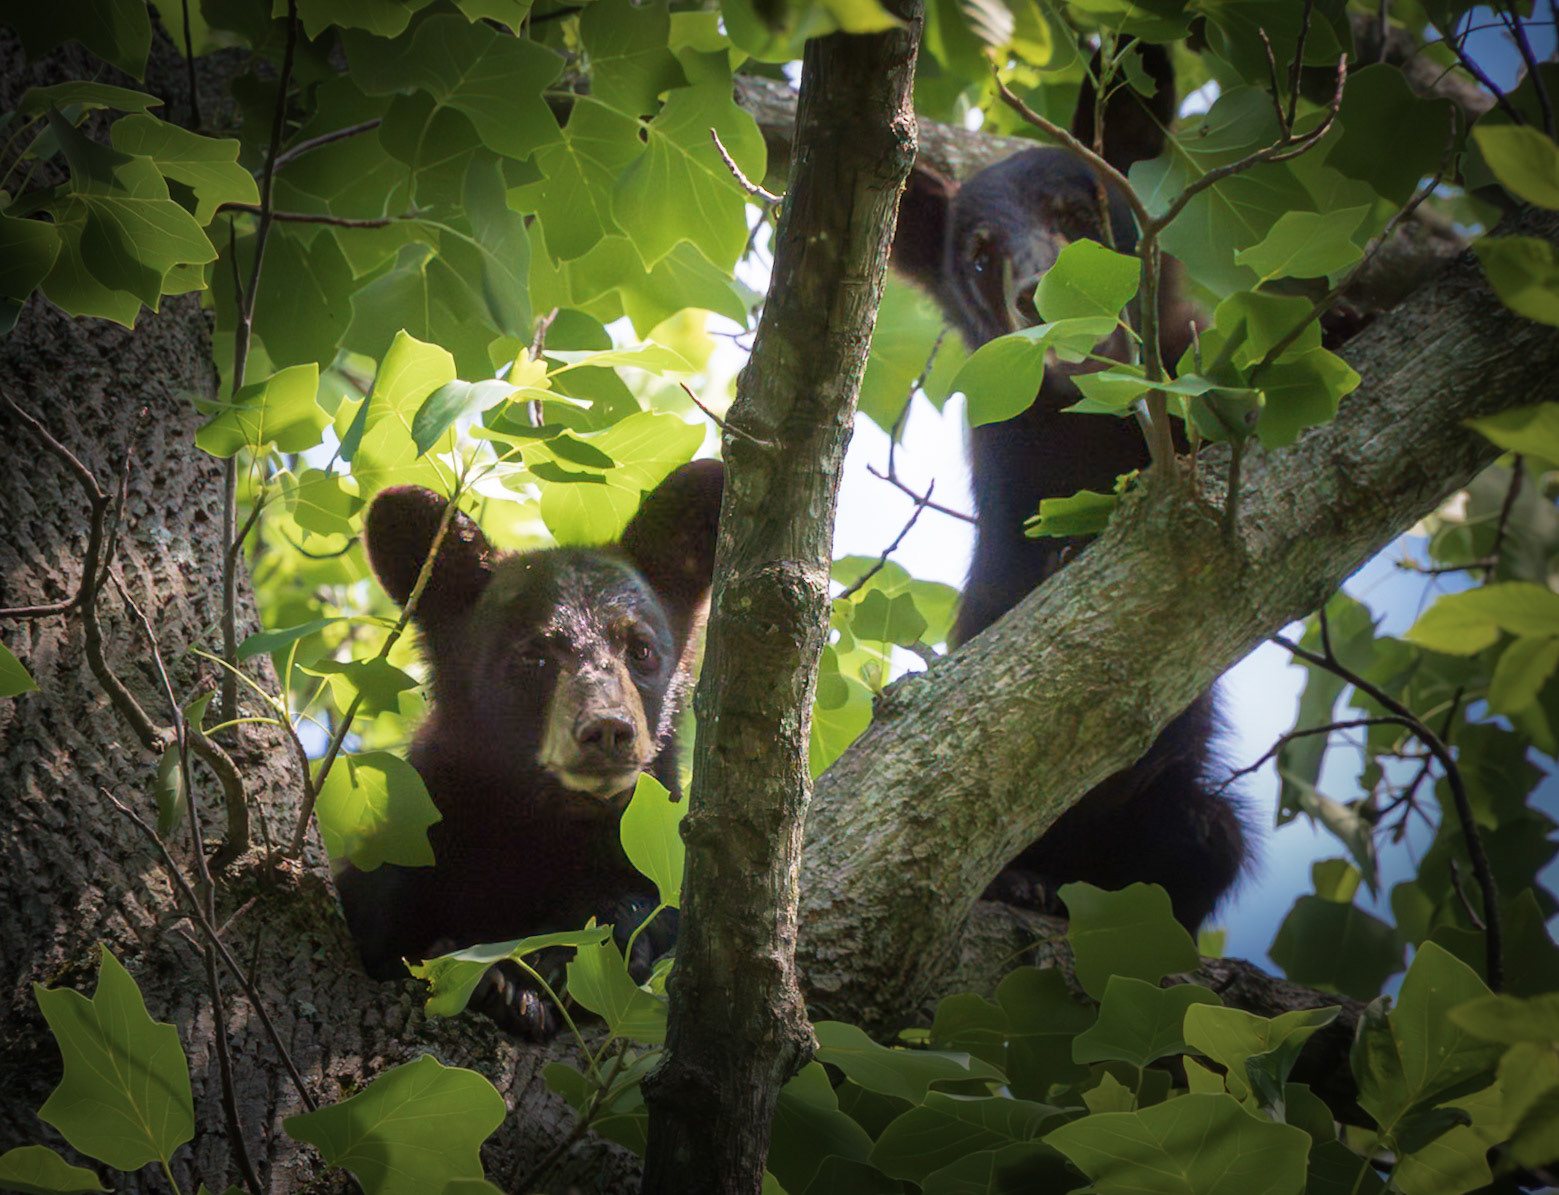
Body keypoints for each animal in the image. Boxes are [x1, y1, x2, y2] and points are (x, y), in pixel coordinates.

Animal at [335, 459, 724, 1033]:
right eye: (534, 656)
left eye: (641, 649)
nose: (607, 729)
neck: (543, 826)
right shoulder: (416, 834)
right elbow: (382, 912)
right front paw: (492, 979)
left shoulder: (652, 844)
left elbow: (651, 903)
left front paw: (559, 963)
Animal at [889, 42, 1248, 931]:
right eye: (979, 256)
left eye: (1079, 215)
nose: (1041, 297)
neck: (1096, 419)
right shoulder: (1012, 470)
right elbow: (1002, 593)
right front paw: (1062, 556)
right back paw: (1018, 881)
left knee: (1208, 833)